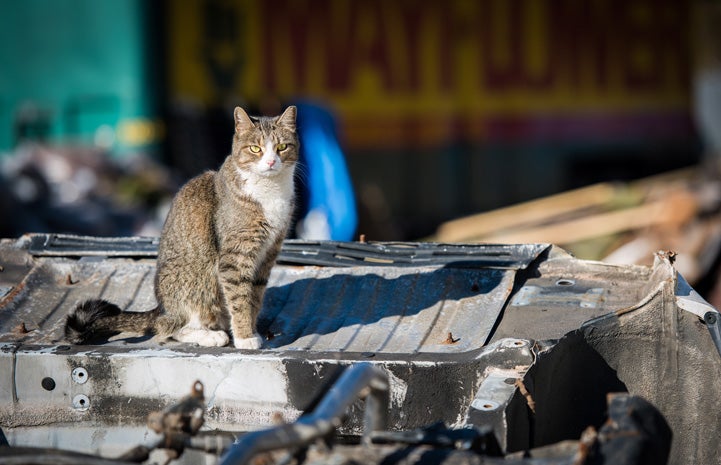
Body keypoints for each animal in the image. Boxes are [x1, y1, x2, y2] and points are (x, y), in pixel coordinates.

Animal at [63, 105, 296, 348]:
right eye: (255, 148)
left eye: (281, 147)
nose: (271, 162)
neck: (270, 189)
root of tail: (162, 309)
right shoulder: (235, 258)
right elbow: (239, 299)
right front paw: (244, 337)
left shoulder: (268, 254)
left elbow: (254, 299)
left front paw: (251, 330)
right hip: (200, 277)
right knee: (170, 328)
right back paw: (211, 336)